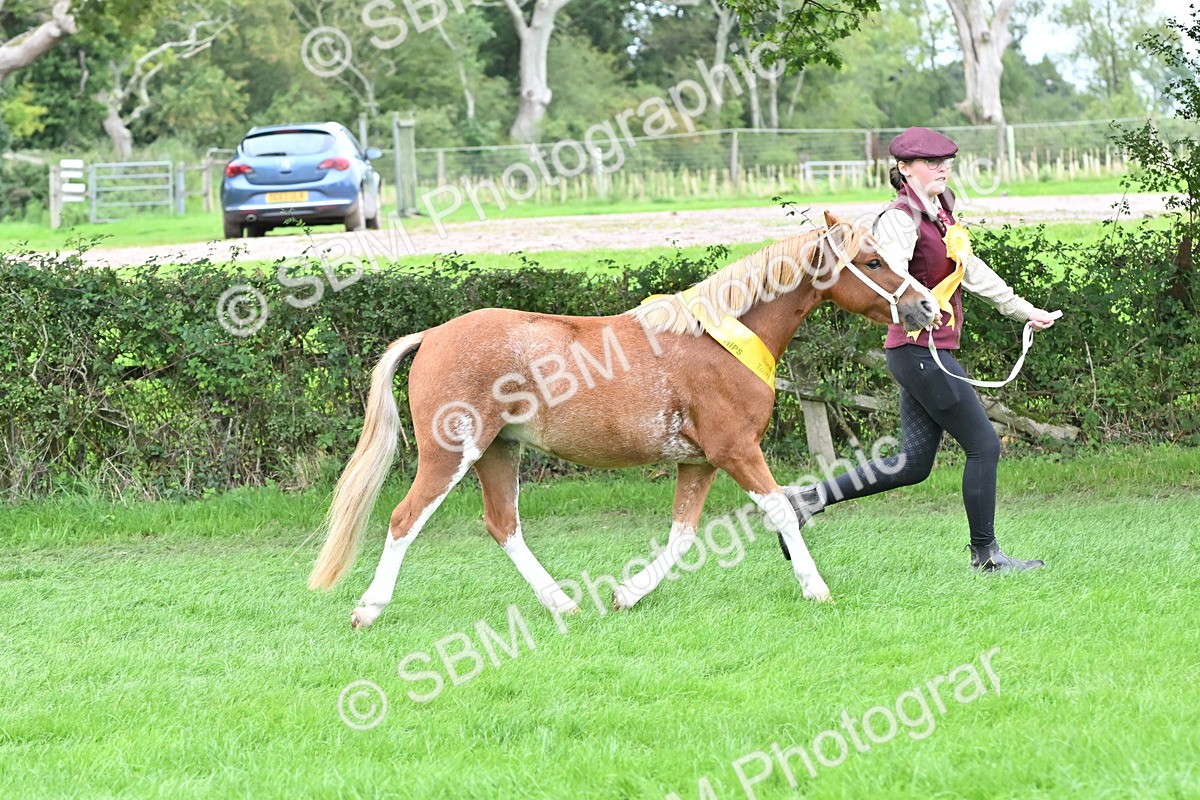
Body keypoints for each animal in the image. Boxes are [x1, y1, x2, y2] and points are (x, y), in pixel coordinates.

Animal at [309, 210, 937, 628]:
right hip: (450, 455)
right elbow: (780, 509)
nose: (926, 305)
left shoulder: (700, 461)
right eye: (873, 261)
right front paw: (816, 588)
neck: (724, 337)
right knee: (404, 519)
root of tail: (434, 335)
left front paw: (627, 594)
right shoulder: (736, 450)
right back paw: (369, 609)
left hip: (498, 452)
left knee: (503, 525)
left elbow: (683, 534)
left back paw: (562, 602)